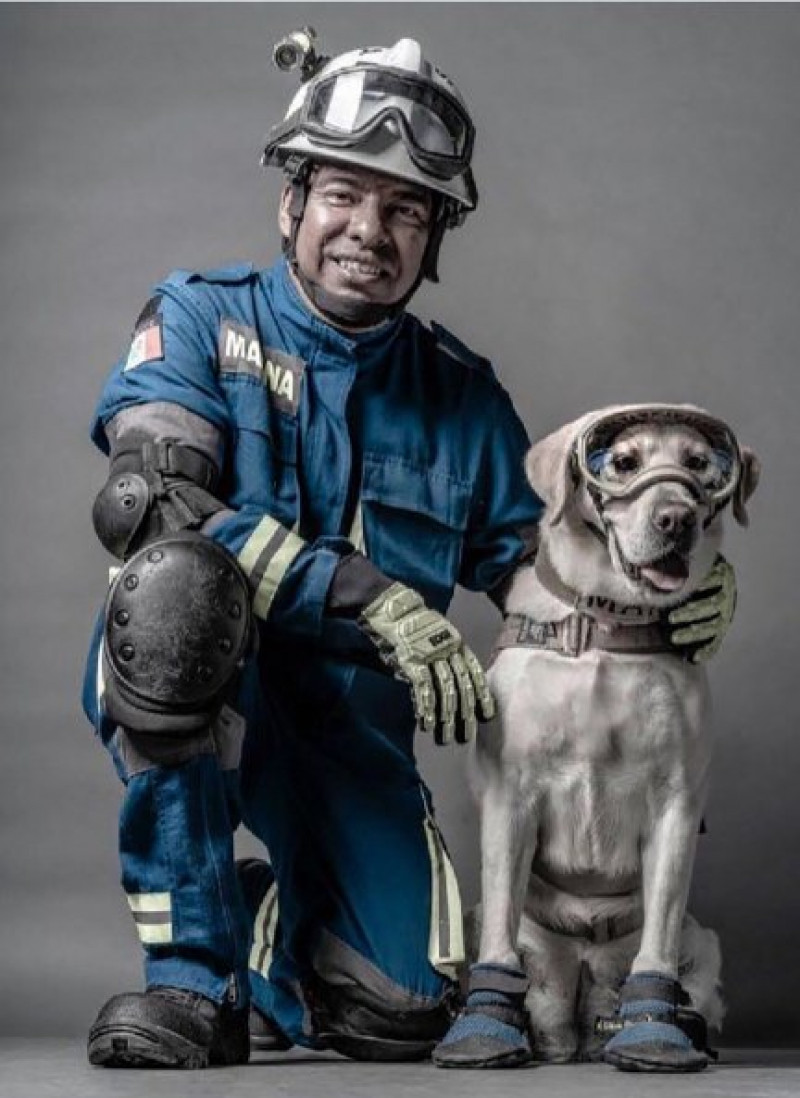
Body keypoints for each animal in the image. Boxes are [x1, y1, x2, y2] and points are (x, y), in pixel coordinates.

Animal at [467, 404, 755, 1071]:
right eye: (622, 462)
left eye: (699, 466)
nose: (676, 517)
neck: (607, 622)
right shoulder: (510, 794)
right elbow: (498, 925)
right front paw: (483, 1026)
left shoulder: (677, 801)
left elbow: (660, 931)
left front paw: (654, 1031)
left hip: (702, 941)